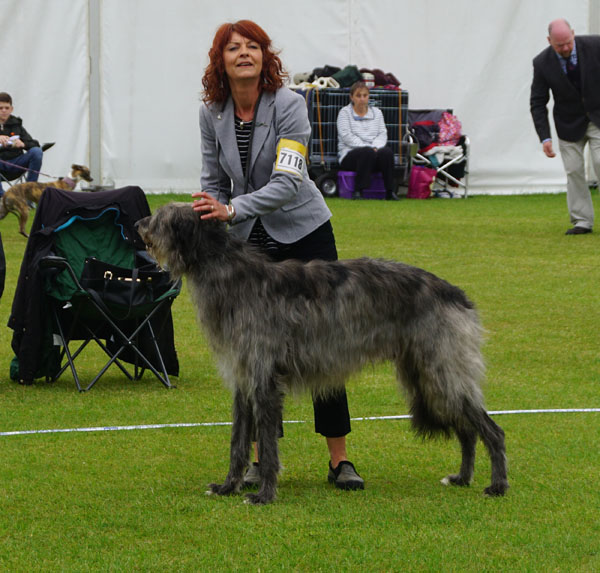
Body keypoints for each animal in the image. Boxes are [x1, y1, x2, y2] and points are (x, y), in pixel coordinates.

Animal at [135, 202, 506, 504]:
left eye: (162, 216)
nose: (138, 224)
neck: (234, 277)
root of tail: (455, 294)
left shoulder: (264, 379)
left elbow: (266, 444)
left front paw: (265, 495)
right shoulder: (243, 378)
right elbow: (238, 441)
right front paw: (228, 486)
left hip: (441, 367)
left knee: (489, 428)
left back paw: (497, 485)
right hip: (428, 371)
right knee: (467, 429)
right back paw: (462, 478)